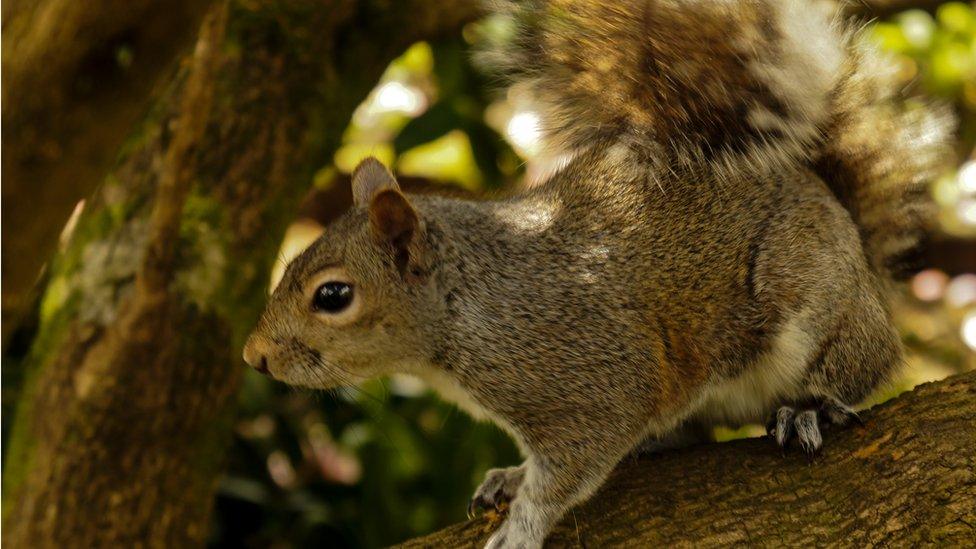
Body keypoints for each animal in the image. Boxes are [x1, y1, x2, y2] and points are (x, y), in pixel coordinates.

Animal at [242, 2, 952, 544]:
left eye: (333, 295)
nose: (254, 357)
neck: (464, 308)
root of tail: (845, 225)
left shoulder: (590, 376)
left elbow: (571, 465)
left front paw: (522, 526)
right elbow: (547, 464)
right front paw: (511, 476)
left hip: (809, 296)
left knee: (861, 364)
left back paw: (811, 410)